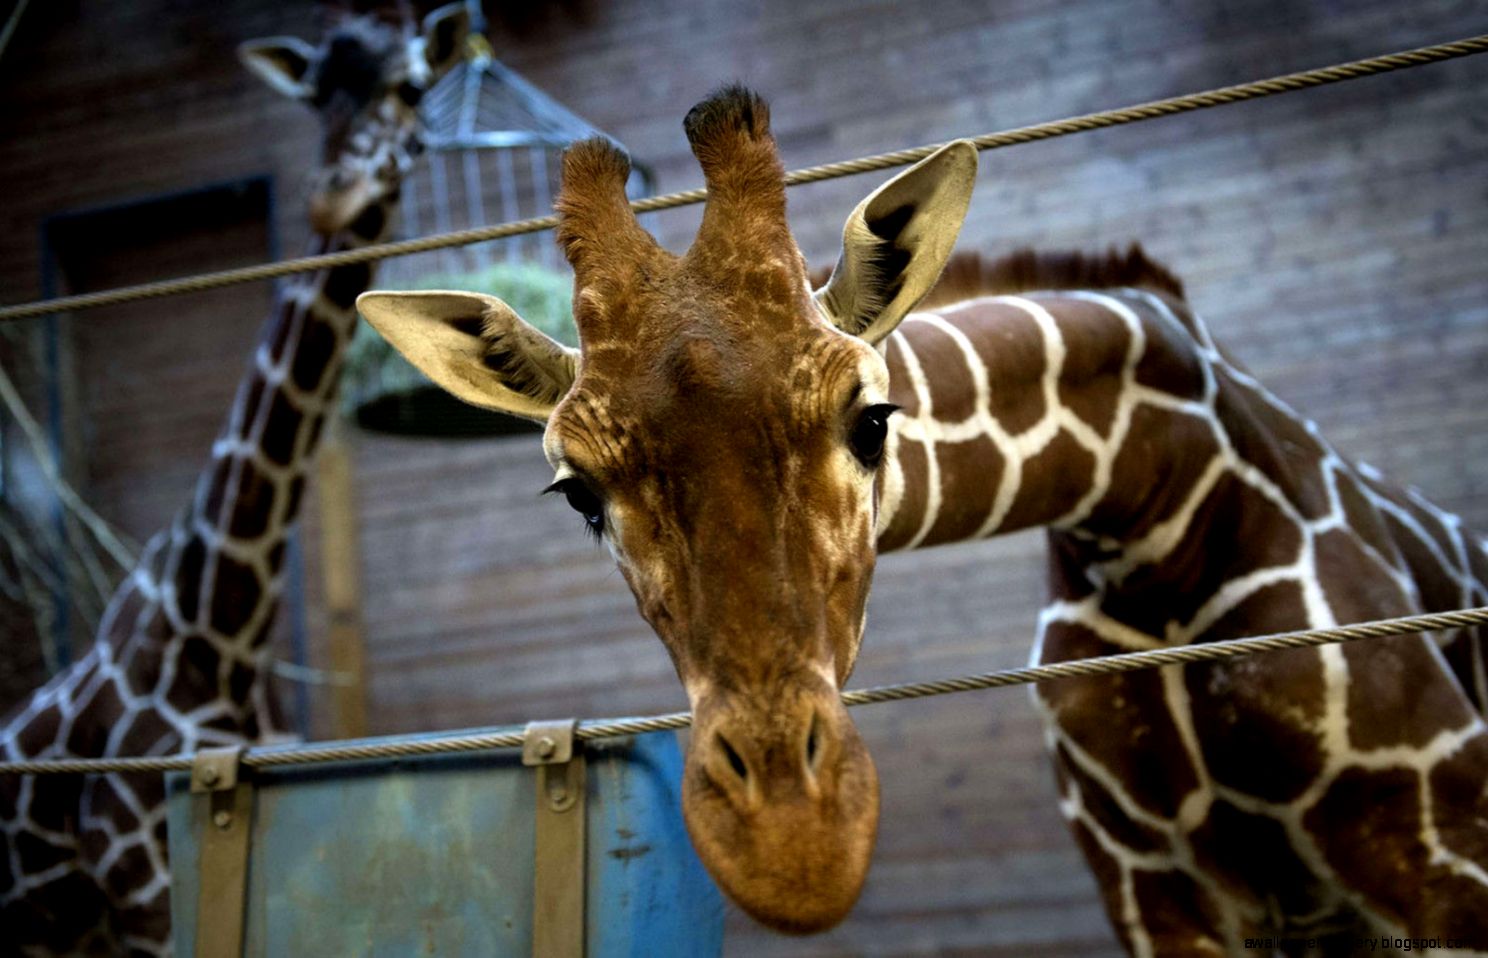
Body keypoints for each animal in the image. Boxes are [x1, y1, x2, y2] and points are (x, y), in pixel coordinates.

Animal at [357, 87, 1488, 950]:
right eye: (578, 492)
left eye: (872, 419)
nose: (792, 845)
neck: (1151, 507)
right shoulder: (1150, 889)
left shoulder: (1442, 846)